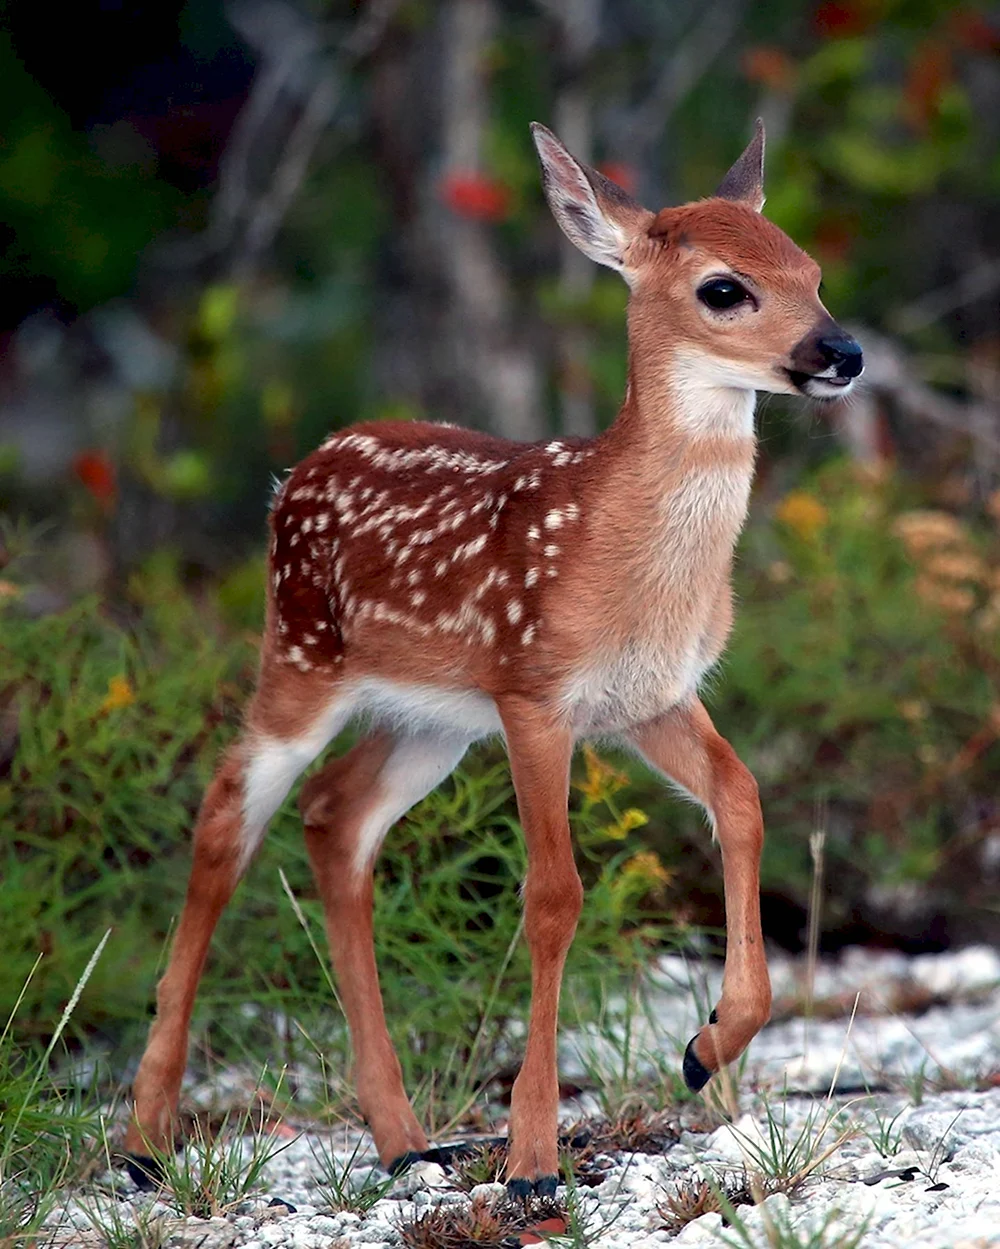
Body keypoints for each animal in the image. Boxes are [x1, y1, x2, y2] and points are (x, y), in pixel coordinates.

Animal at [122, 121, 858, 1194]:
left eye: (812, 272)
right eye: (725, 288)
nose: (842, 351)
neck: (620, 548)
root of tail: (296, 471)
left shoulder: (649, 698)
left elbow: (744, 797)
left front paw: (705, 1044)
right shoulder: (534, 689)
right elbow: (554, 894)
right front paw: (535, 1157)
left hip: (431, 719)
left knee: (337, 817)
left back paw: (403, 1137)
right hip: (301, 656)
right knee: (224, 817)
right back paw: (144, 1139)